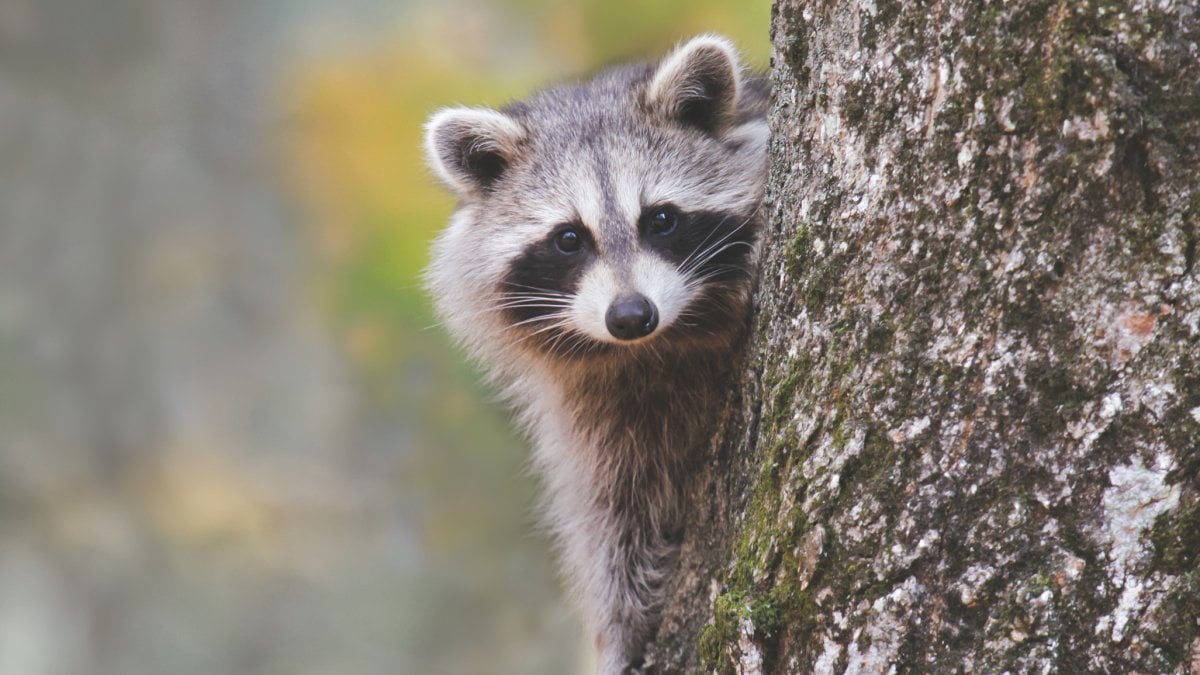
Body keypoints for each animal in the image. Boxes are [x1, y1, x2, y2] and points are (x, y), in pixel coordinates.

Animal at [422, 34, 768, 667]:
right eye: (568, 238)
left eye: (661, 219)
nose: (631, 316)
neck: (658, 348)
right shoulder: (593, 408)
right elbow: (610, 511)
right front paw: (622, 623)